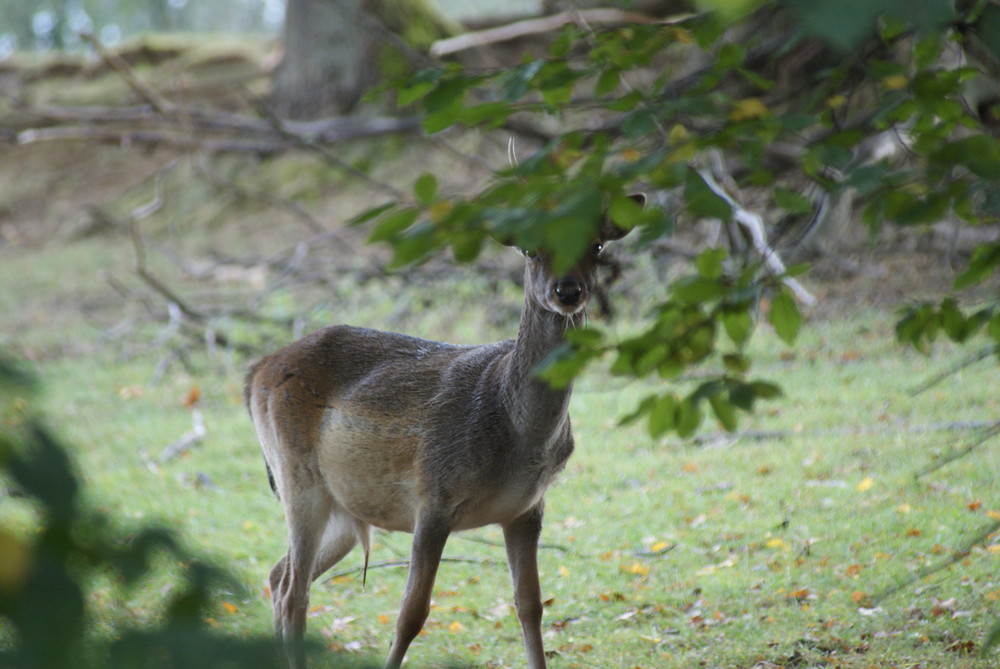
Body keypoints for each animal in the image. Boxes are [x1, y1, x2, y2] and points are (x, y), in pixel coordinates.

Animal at [246, 194, 644, 668]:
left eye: (597, 245)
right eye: (530, 249)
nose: (567, 291)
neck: (518, 436)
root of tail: (256, 370)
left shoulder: (527, 508)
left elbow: (530, 606)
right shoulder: (433, 495)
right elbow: (411, 614)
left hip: (345, 507)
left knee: (279, 575)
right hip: (296, 475)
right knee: (294, 592)